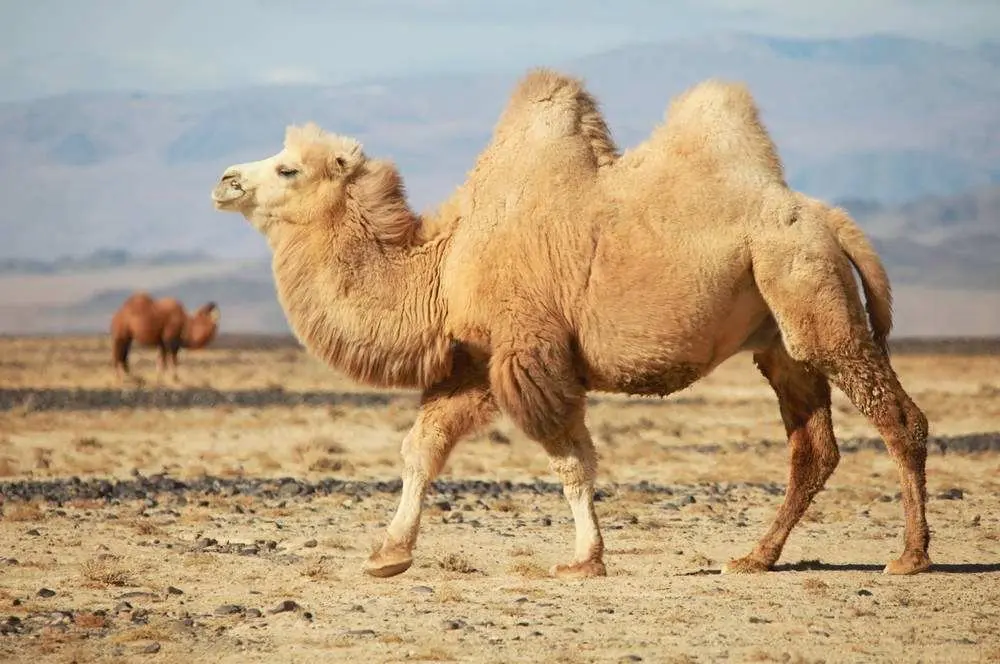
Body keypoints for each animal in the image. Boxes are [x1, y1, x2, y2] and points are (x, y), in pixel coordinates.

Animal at [209, 66, 928, 576]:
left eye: (287, 167)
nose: (224, 180)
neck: (443, 265)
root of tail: (827, 218)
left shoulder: (530, 352)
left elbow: (570, 459)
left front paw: (584, 560)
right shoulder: (476, 360)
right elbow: (421, 448)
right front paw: (389, 554)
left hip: (812, 294)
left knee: (899, 418)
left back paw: (910, 556)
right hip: (779, 335)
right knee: (813, 447)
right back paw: (756, 556)